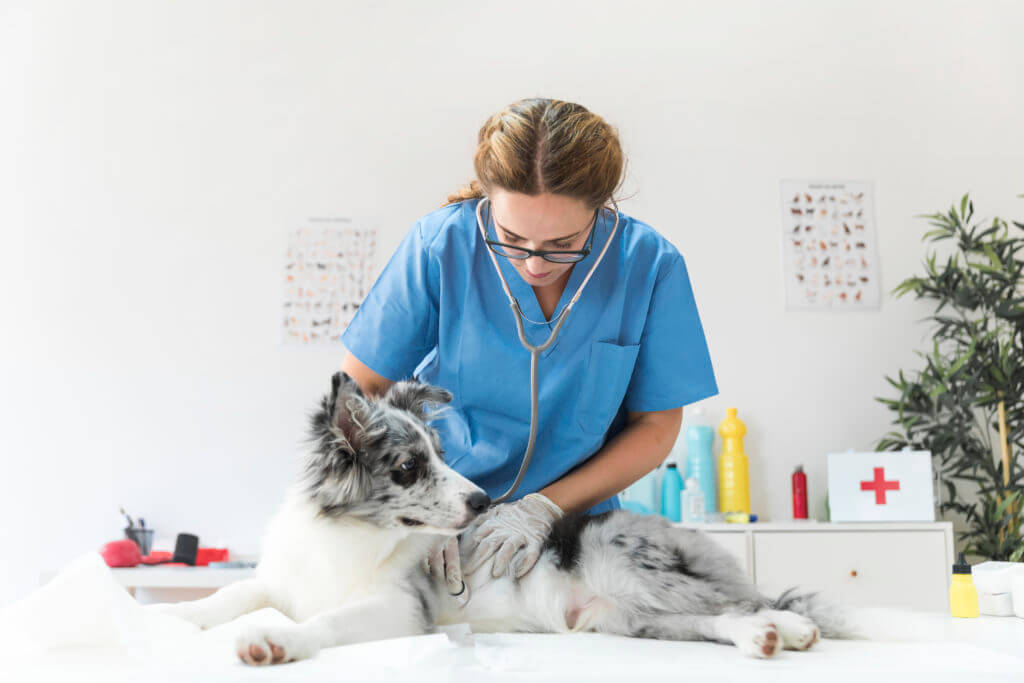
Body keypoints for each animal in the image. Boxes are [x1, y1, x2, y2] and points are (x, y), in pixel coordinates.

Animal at [153, 376, 847, 663]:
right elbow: (235, 593)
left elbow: (324, 622)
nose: (486, 503)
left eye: (442, 454)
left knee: (751, 601)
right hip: (626, 619)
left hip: (627, 565)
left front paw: (279, 641)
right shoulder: (283, 579)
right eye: (409, 466)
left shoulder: (401, 609)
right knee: (713, 621)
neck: (353, 537)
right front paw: (176, 618)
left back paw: (788, 627)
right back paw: (763, 639)